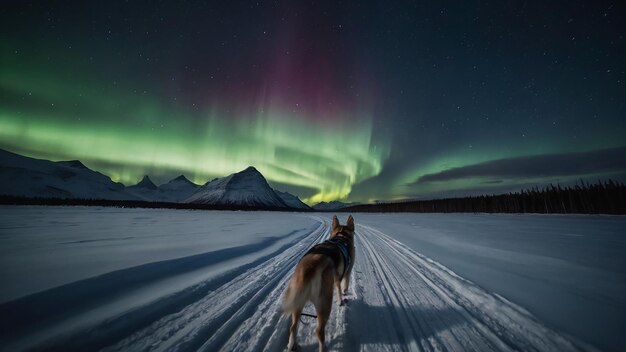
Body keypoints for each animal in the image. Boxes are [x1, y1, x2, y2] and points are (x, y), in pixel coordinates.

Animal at [280, 214, 354, 352]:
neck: (341, 237)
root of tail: (311, 267)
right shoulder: (345, 274)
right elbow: (342, 288)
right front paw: (342, 298)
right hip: (324, 305)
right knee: (319, 332)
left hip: (298, 303)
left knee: (293, 327)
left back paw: (292, 345)